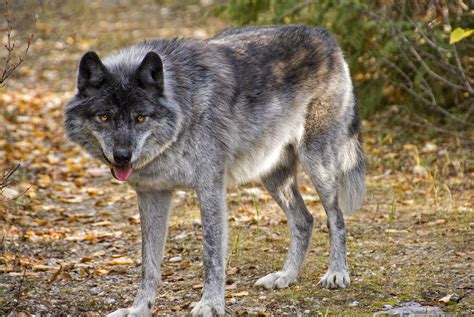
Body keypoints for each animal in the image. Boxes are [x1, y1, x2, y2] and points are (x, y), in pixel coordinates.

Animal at [64, 25, 366, 316]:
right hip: (272, 176)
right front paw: (139, 309)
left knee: (335, 217)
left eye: (140, 118)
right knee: (305, 220)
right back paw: (285, 276)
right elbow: (148, 264)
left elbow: (212, 253)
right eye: (104, 117)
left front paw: (210, 304)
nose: (122, 157)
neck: (183, 106)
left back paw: (337, 273)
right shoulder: (152, 193)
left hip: (318, 164)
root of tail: (325, 36)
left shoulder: (210, 187)